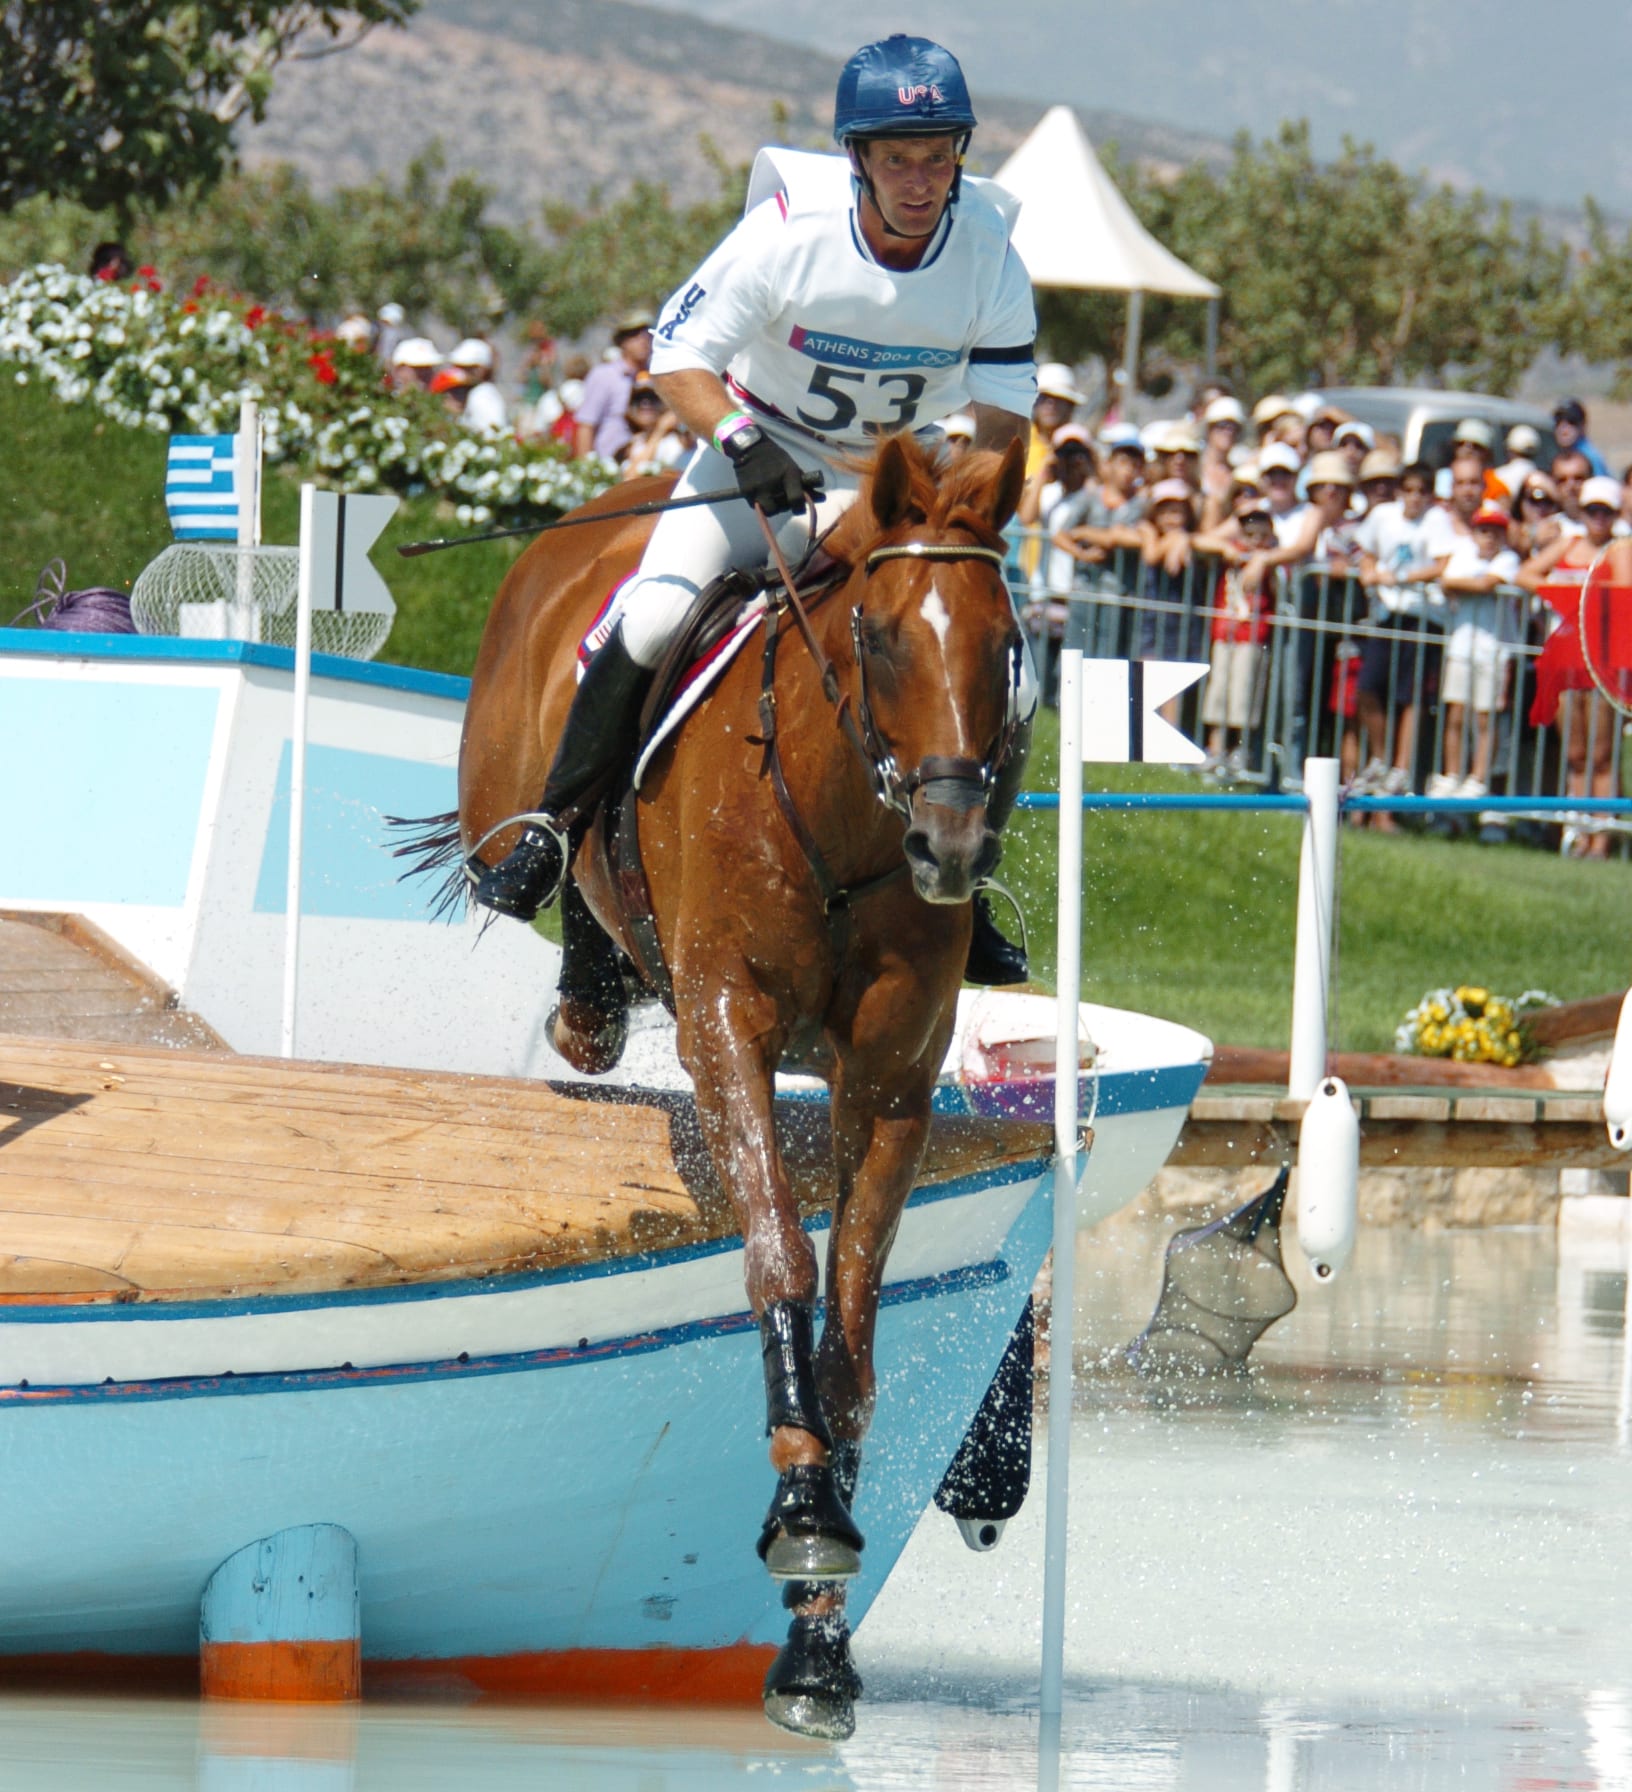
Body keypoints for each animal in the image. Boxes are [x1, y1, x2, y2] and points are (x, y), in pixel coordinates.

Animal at [438, 431, 1025, 1737]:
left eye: (1006, 645)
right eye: (881, 636)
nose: (954, 842)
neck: (846, 820)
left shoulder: (891, 1083)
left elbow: (853, 1329)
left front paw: (817, 1644)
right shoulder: (727, 1026)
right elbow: (780, 1257)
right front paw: (805, 1516)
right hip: (512, 789)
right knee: (564, 840)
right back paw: (578, 961)